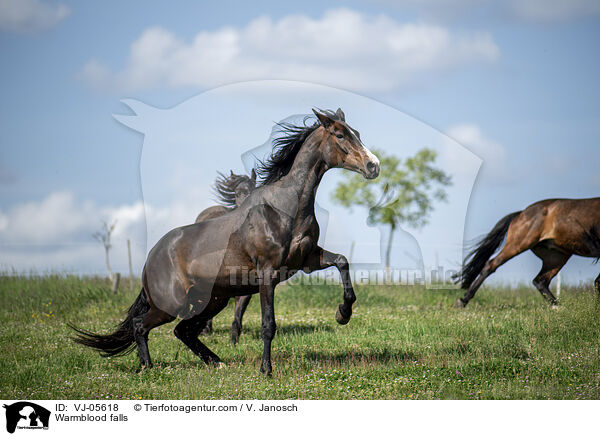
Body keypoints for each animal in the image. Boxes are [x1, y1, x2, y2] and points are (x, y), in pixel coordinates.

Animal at [70, 108, 380, 374]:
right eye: (340, 135)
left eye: (356, 133)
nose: (373, 165)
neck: (284, 208)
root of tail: (152, 257)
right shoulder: (267, 274)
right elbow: (268, 324)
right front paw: (266, 370)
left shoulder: (306, 260)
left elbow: (342, 262)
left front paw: (342, 313)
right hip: (172, 304)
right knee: (141, 325)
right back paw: (147, 367)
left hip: (211, 300)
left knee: (182, 330)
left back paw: (216, 362)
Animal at [454, 198, 600, 306]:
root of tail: (521, 213)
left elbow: (597, 281)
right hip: (519, 244)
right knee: (491, 265)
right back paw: (462, 301)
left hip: (556, 256)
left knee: (540, 281)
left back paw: (558, 307)